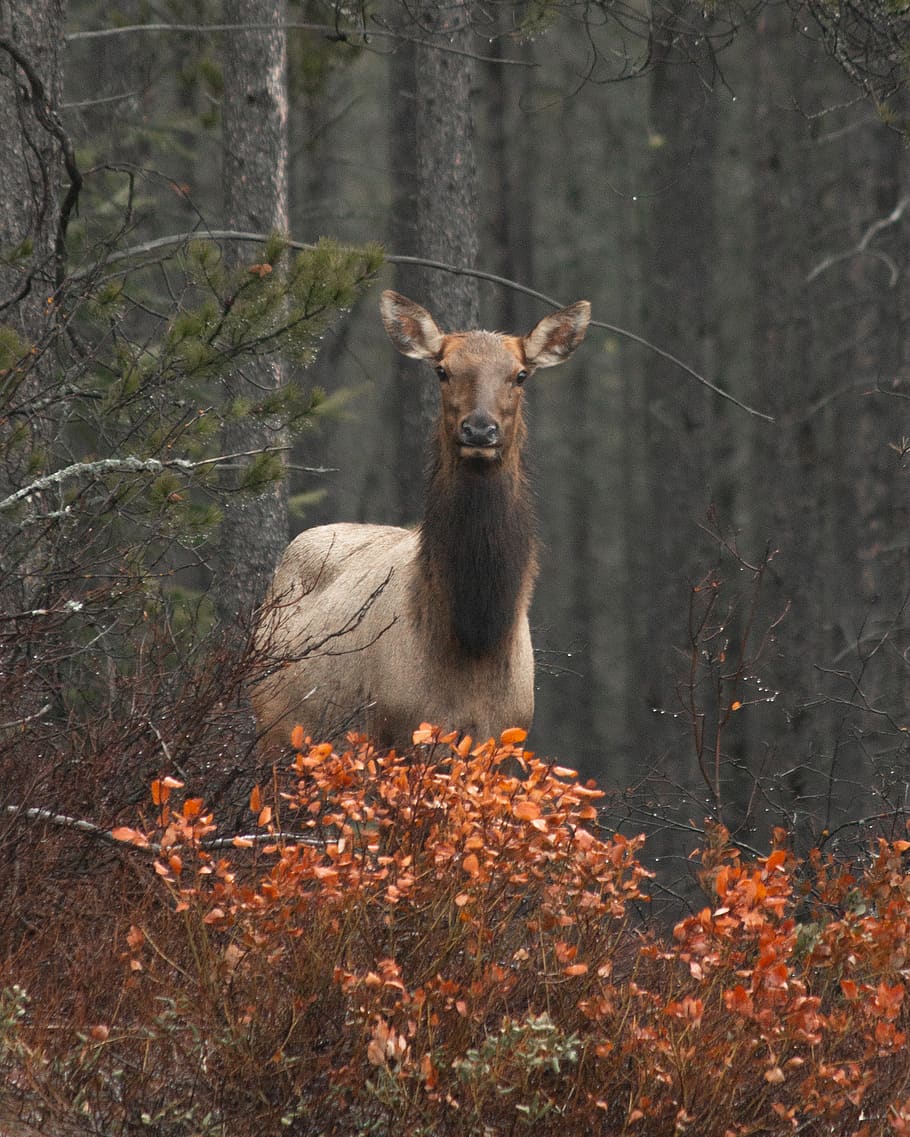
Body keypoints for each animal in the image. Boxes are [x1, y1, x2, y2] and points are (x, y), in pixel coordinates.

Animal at [252, 289, 591, 751]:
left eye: (520, 375)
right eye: (442, 370)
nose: (479, 430)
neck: (474, 639)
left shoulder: (506, 736)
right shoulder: (398, 730)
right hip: (273, 732)